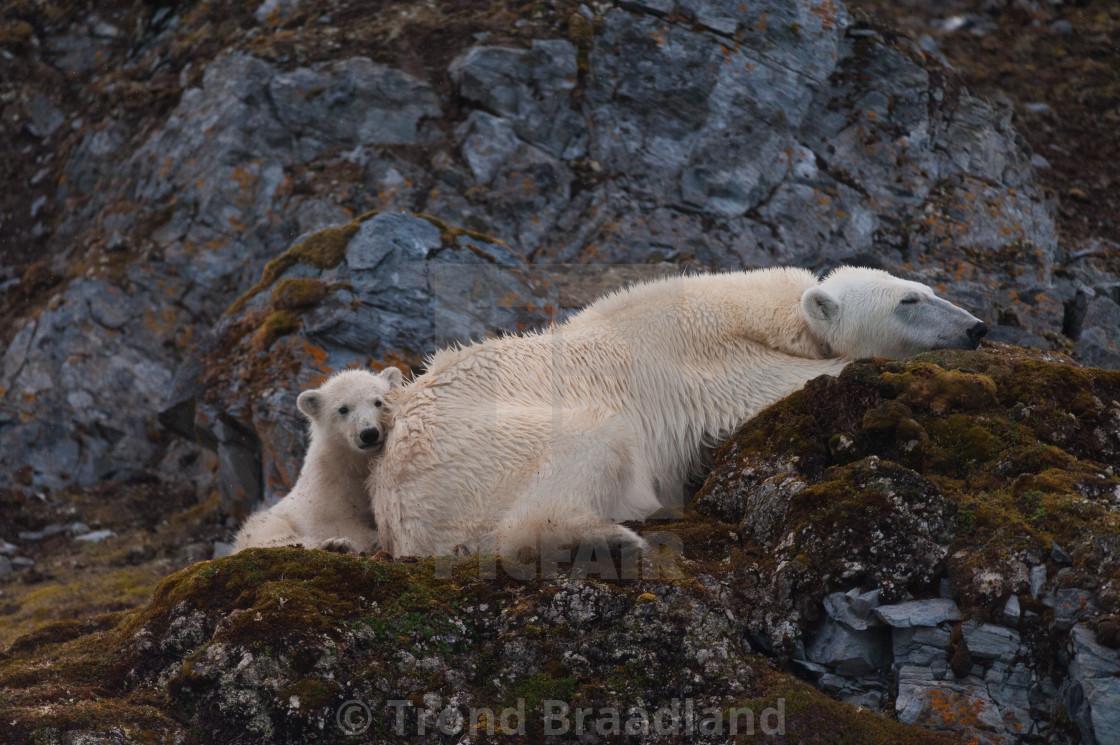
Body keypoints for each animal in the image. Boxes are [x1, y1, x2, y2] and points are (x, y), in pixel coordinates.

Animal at [231, 365, 403, 551]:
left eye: (378, 401)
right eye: (343, 409)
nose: (369, 433)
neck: (354, 464)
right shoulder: (325, 489)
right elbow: (330, 523)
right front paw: (369, 539)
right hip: (262, 524)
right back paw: (335, 545)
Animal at [369, 264, 981, 555]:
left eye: (927, 288)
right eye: (909, 300)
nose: (976, 327)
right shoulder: (710, 370)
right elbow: (792, 384)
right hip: (482, 452)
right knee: (587, 451)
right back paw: (612, 537)